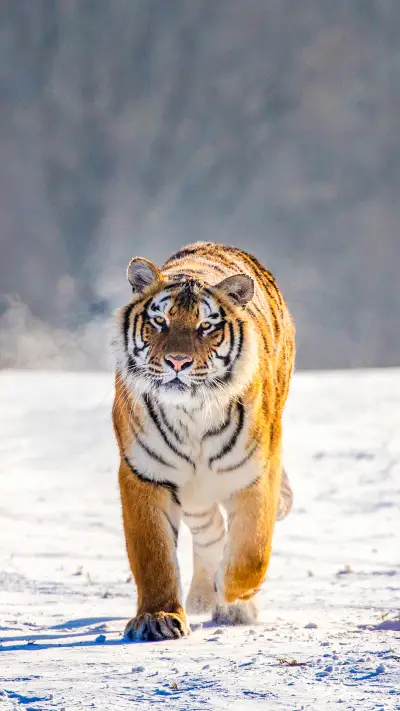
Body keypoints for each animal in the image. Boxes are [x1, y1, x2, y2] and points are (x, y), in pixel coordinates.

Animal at [112, 241, 295, 641]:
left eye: (206, 326)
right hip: (195, 494)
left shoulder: (256, 473)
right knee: (211, 532)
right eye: (159, 321)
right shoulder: (144, 475)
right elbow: (153, 555)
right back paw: (198, 598)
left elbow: (252, 551)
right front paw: (158, 617)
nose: (177, 362)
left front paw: (234, 600)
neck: (191, 414)